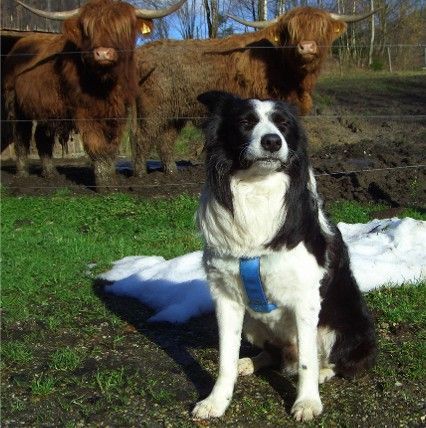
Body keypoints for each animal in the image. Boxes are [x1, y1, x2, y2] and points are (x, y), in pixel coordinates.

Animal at [2, 0, 185, 187]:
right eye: (88, 29)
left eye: (122, 27)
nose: (103, 53)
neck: (105, 85)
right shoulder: (85, 111)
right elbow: (96, 143)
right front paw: (104, 183)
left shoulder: (119, 111)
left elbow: (112, 144)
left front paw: (112, 177)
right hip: (15, 104)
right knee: (21, 137)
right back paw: (23, 174)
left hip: (49, 108)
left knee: (42, 137)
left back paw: (51, 173)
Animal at [193, 91, 376, 422]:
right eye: (245, 122)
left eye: (284, 125)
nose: (272, 142)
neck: (257, 189)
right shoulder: (226, 297)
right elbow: (225, 359)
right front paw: (216, 401)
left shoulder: (305, 299)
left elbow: (307, 361)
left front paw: (307, 402)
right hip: (254, 324)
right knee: (274, 354)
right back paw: (250, 362)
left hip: (341, 327)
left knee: (328, 360)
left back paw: (323, 373)